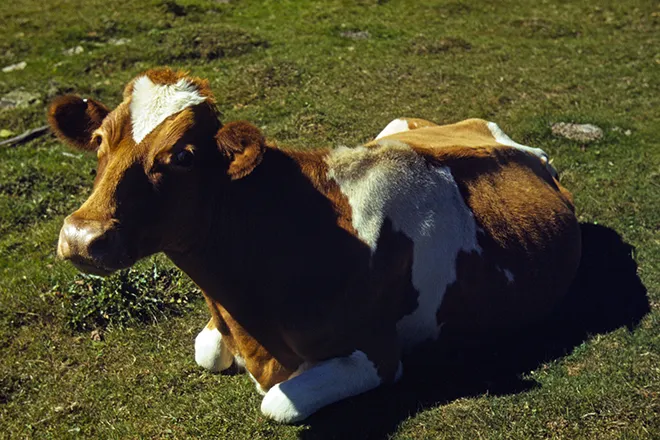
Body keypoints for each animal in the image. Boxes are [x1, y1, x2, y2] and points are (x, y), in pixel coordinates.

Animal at [47, 68, 584, 422]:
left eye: (182, 156)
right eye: (100, 140)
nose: (81, 236)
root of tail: (515, 144)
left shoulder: (377, 355)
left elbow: (277, 403)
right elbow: (207, 350)